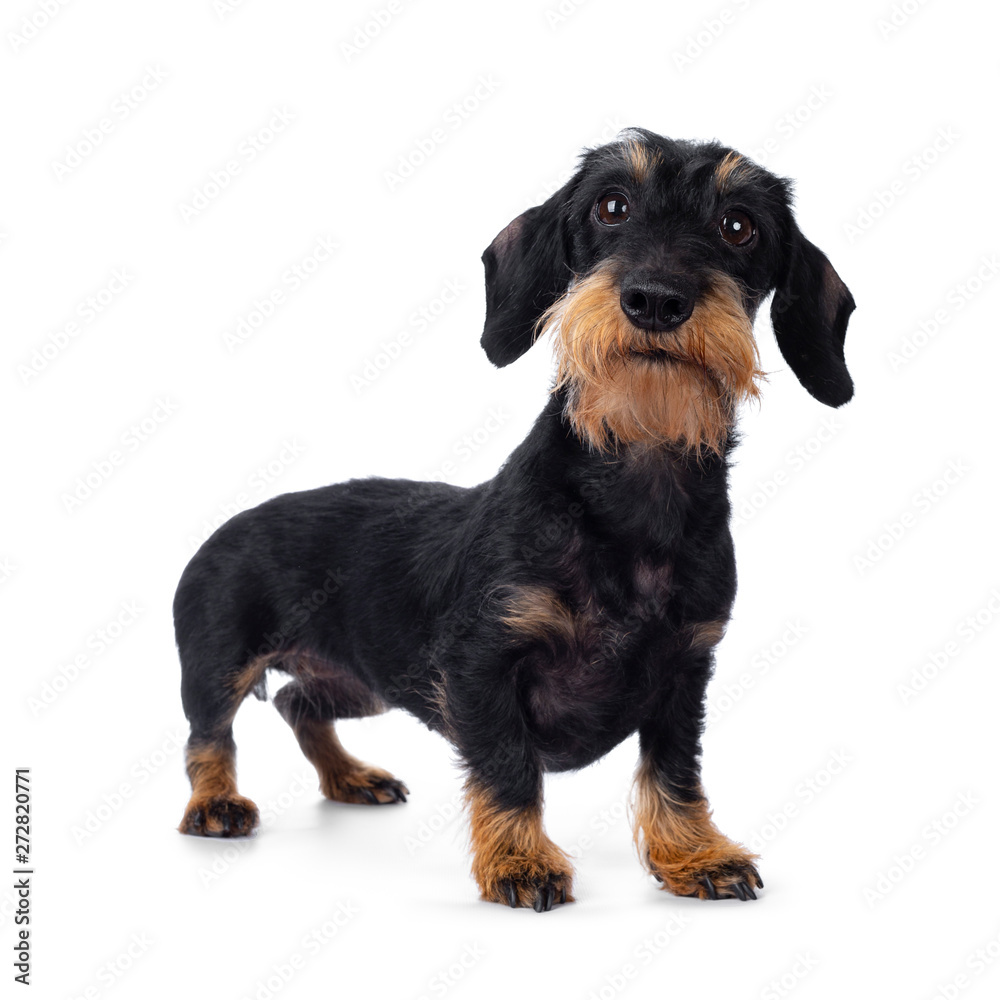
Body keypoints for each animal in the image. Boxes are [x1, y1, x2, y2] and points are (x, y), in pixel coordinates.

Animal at [174, 131, 852, 916]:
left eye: (739, 225)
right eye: (611, 206)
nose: (656, 300)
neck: (635, 497)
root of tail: (229, 522)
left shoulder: (686, 670)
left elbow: (675, 774)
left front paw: (695, 855)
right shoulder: (481, 664)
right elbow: (507, 769)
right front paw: (520, 862)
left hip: (361, 680)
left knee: (295, 701)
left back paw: (351, 776)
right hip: (221, 662)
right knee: (209, 736)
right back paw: (216, 804)